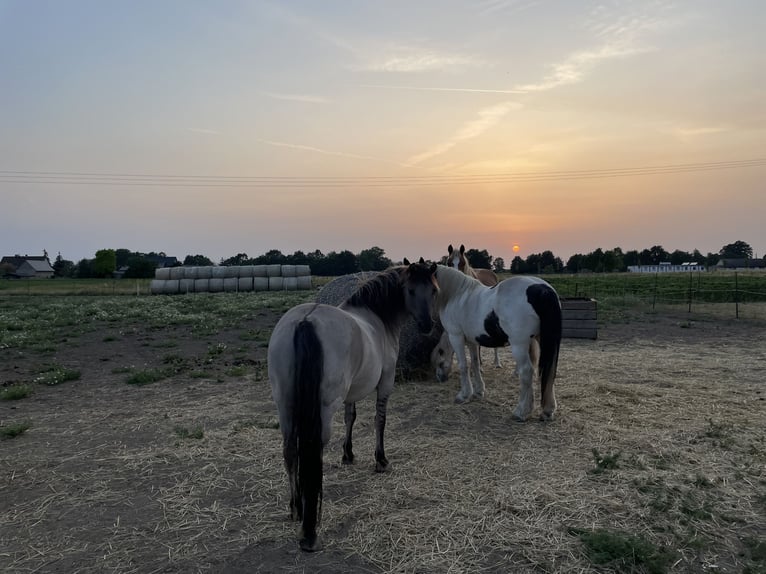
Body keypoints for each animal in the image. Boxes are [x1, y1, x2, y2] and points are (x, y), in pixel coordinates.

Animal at [268, 258, 438, 552]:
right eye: (411, 290)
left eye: (433, 290)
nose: (427, 325)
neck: (376, 318)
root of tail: (305, 320)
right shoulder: (386, 383)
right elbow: (380, 420)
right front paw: (380, 460)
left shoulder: (351, 394)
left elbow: (351, 417)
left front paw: (348, 454)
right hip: (322, 410)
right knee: (312, 454)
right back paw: (309, 531)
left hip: (285, 405)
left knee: (289, 451)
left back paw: (296, 508)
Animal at [432, 266, 564, 424]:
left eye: (440, 358)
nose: (440, 378)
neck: (457, 296)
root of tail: (543, 289)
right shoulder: (472, 341)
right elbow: (475, 364)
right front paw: (478, 392)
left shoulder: (456, 337)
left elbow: (464, 366)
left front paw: (463, 395)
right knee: (550, 372)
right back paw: (547, 411)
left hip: (519, 345)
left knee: (526, 372)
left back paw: (520, 412)